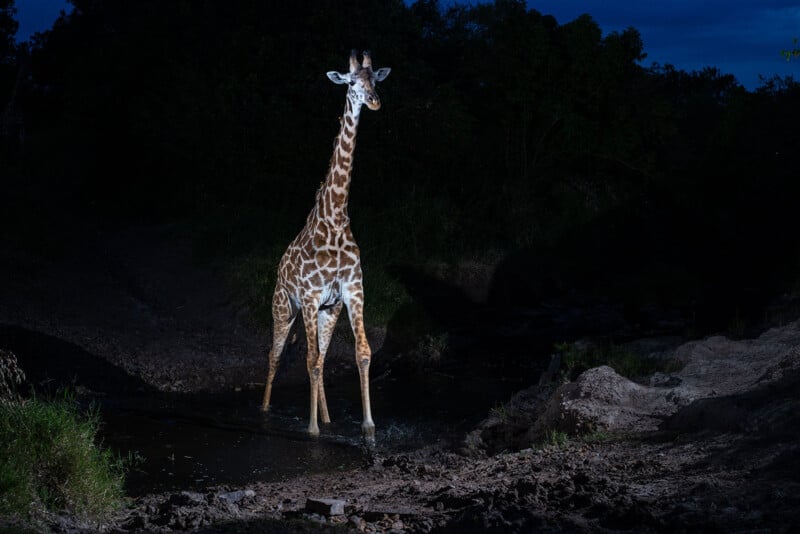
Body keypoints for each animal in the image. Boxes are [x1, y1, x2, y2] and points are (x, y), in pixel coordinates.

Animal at [261, 50, 390, 446]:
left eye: (375, 81)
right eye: (351, 82)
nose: (374, 102)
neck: (333, 219)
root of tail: (279, 266)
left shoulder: (351, 292)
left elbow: (362, 352)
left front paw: (368, 427)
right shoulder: (310, 295)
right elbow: (309, 361)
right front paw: (312, 429)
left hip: (326, 313)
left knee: (319, 357)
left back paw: (329, 417)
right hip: (284, 307)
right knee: (275, 356)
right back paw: (266, 410)